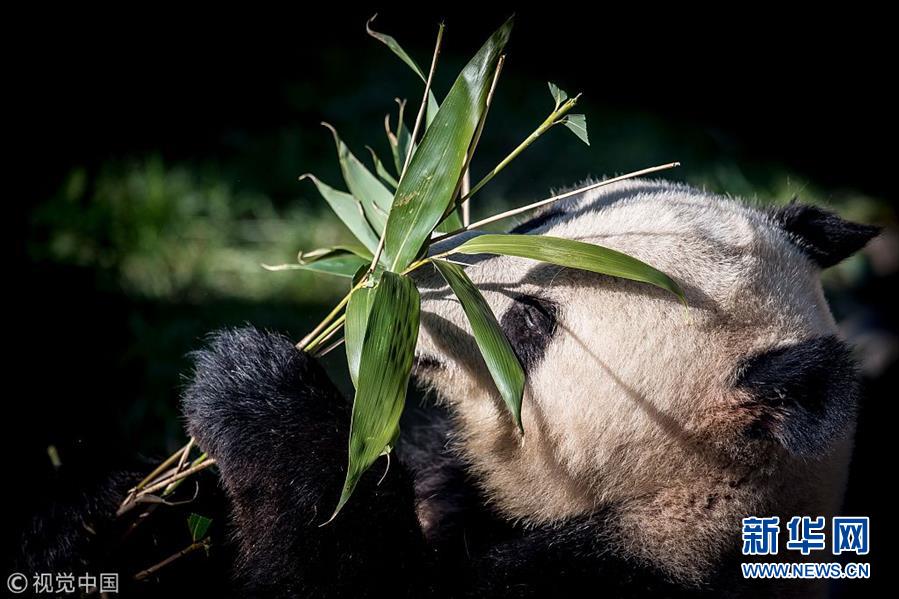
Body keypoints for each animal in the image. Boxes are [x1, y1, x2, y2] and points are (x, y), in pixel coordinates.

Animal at [21, 179, 878, 597]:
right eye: (539, 220)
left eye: (530, 323)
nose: (415, 273)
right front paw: (111, 515)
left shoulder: (622, 574)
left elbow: (339, 572)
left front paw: (252, 387)